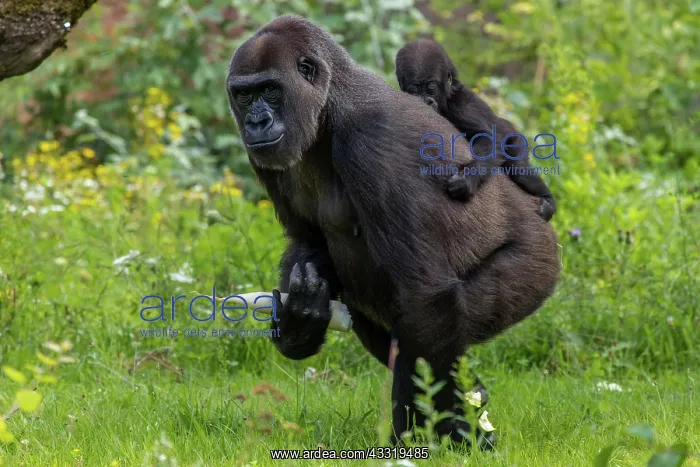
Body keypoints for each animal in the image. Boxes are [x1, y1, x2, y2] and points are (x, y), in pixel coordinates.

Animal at [396, 39, 557, 221]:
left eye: (431, 88)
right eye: (414, 90)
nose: (426, 101)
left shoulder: (462, 106)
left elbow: (489, 139)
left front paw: (467, 180)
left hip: (516, 140)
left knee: (519, 169)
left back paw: (547, 199)